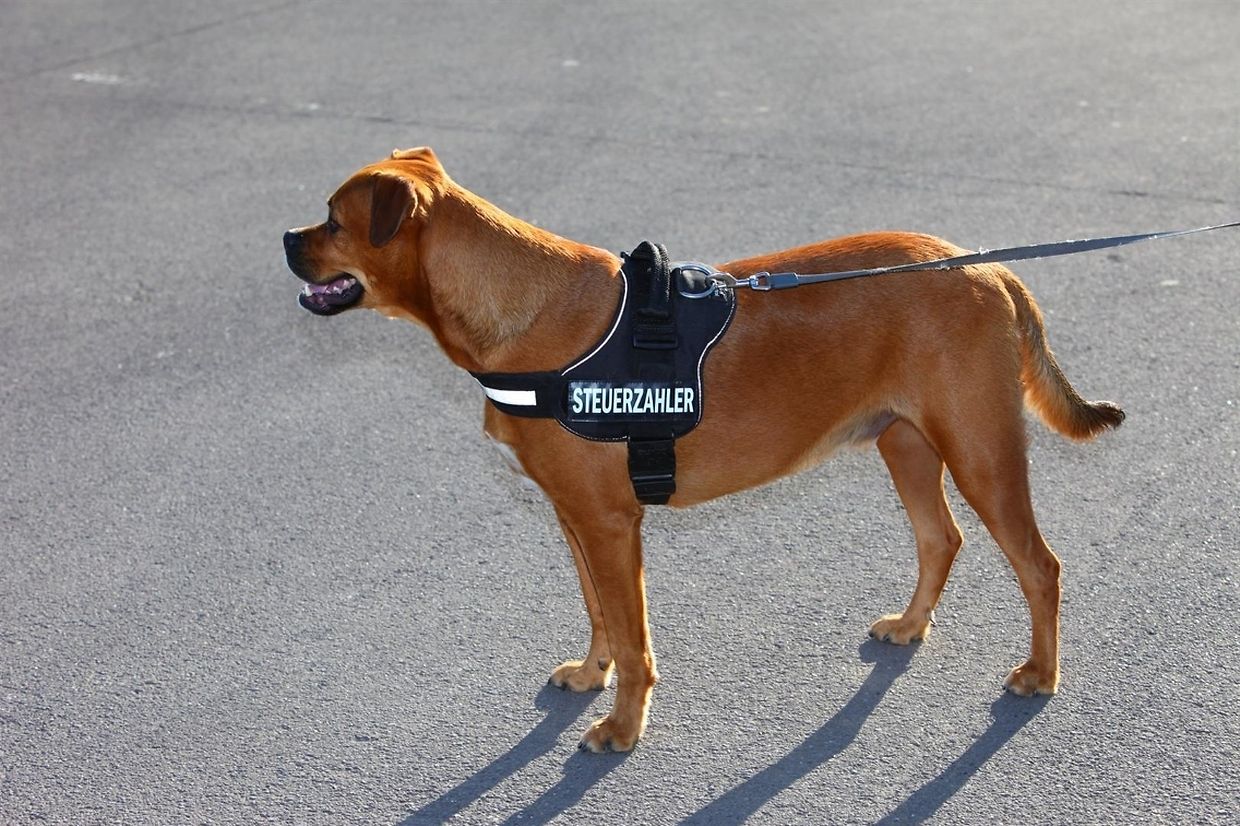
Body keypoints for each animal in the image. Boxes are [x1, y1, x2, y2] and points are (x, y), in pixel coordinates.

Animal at [283, 147, 1123, 752]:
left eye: (332, 221)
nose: (287, 239)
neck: (520, 309)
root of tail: (994, 267)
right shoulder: (576, 518)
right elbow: (599, 616)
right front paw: (592, 676)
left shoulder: (610, 525)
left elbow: (633, 637)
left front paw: (623, 729)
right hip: (907, 442)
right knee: (940, 538)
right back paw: (912, 627)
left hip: (981, 452)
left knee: (1040, 567)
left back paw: (1040, 674)